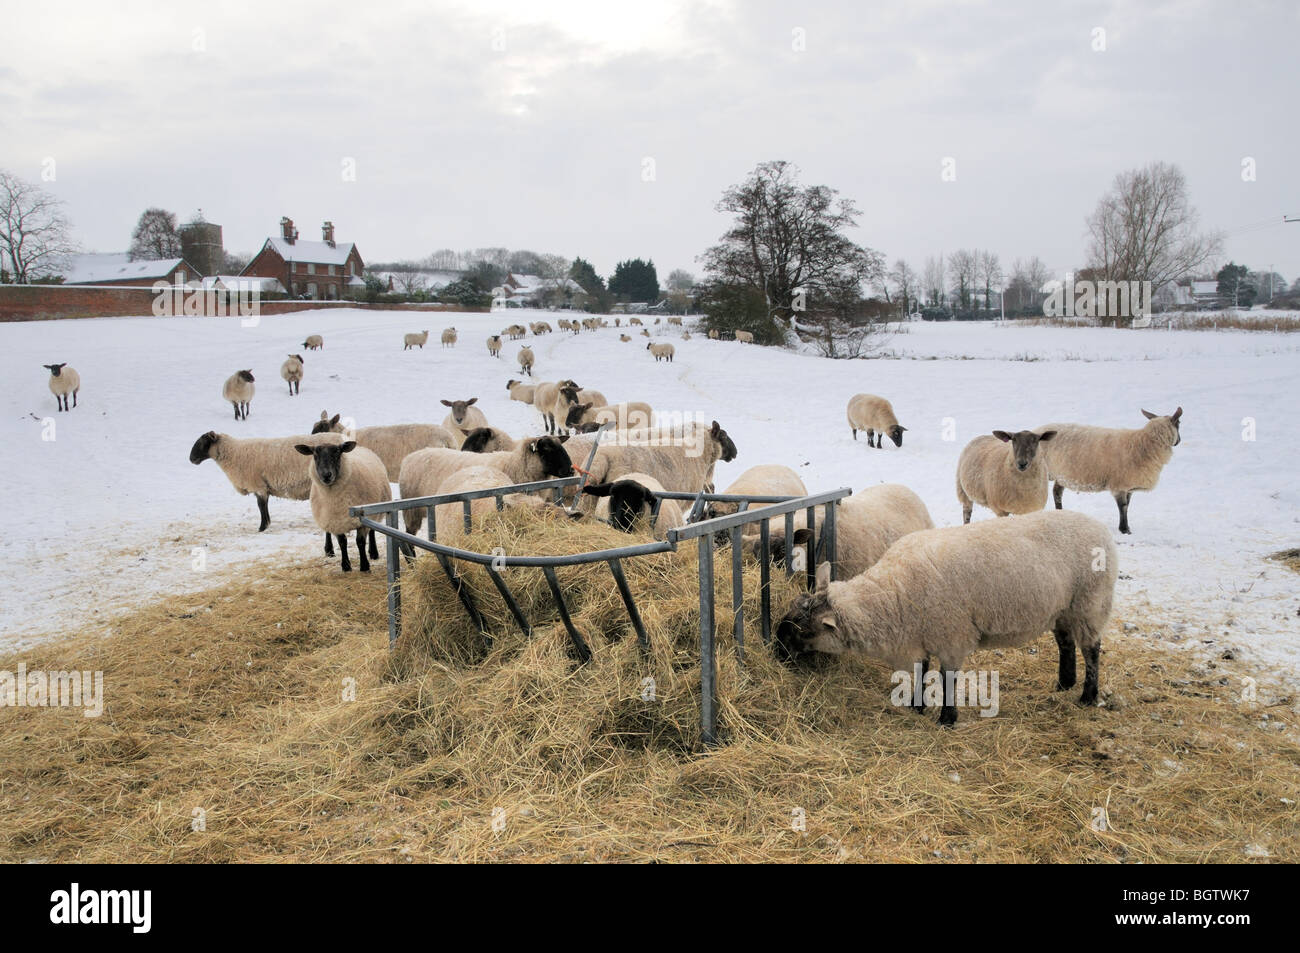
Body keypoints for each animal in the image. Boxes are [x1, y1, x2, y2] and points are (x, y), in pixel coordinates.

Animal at [189, 429, 341, 531]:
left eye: (203, 442)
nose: (191, 459)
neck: (233, 453)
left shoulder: (257, 485)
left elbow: (261, 506)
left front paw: (262, 527)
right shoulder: (262, 486)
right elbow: (263, 506)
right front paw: (266, 524)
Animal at [294, 441, 392, 572]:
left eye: (337, 453)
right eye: (315, 455)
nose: (326, 475)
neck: (334, 499)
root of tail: (361, 447)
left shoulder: (361, 520)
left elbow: (360, 542)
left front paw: (364, 565)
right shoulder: (335, 520)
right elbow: (342, 542)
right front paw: (345, 565)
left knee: (372, 531)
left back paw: (373, 553)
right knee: (328, 532)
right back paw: (329, 550)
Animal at [775, 510, 1118, 725]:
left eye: (804, 630)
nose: (777, 650)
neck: (893, 595)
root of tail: (1100, 527)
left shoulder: (952, 634)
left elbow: (947, 677)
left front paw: (946, 718)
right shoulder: (918, 634)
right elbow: (920, 670)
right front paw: (916, 707)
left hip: (1090, 602)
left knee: (1091, 649)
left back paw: (1087, 696)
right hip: (1064, 608)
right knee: (1065, 642)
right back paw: (1064, 683)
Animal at [1035, 407, 1183, 535]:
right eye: (1179, 423)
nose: (1179, 441)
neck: (1143, 444)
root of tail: (1037, 430)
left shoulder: (1128, 486)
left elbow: (1128, 506)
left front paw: (1126, 527)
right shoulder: (1119, 485)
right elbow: (1123, 506)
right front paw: (1124, 530)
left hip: (1061, 474)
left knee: (1057, 492)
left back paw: (1060, 513)